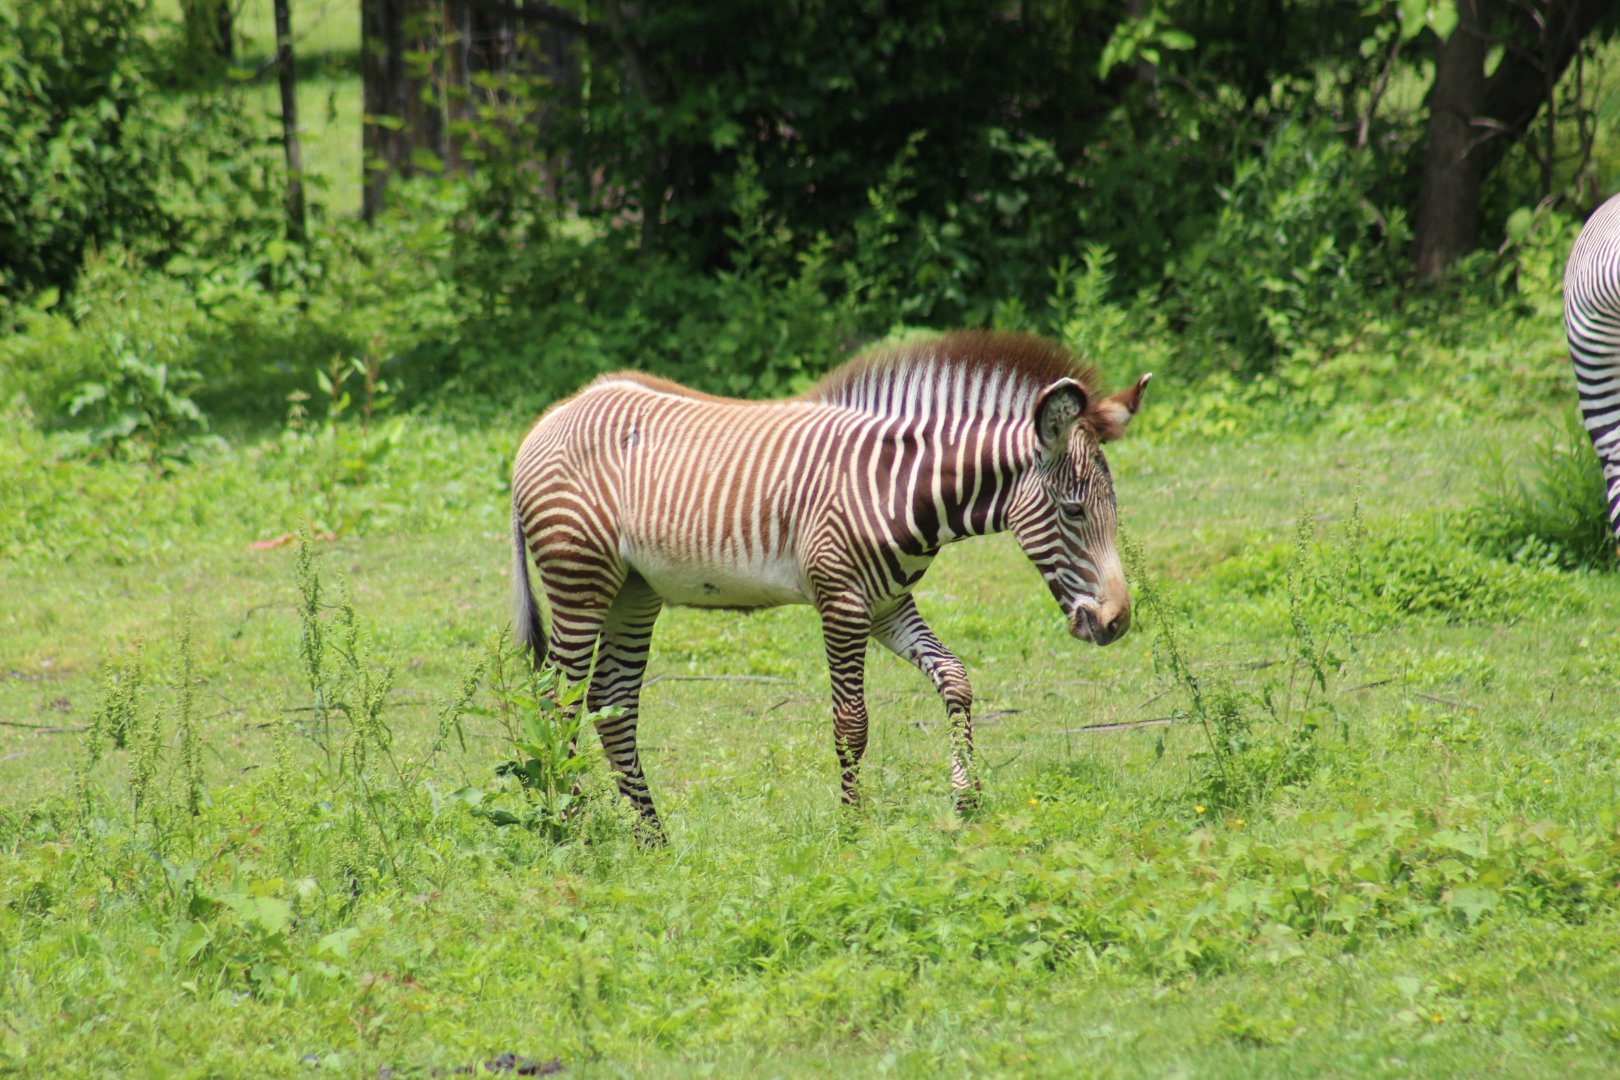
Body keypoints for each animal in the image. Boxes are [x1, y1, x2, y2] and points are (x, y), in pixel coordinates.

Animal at [510, 331, 1150, 837]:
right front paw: (851, 827)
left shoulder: (888, 604)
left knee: (610, 704)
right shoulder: (841, 601)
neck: (900, 487)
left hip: (633, 591)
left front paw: (965, 797)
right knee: (556, 702)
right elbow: (852, 725)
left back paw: (652, 841)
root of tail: (550, 416)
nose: (1117, 622)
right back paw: (568, 827)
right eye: (1073, 512)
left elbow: (956, 679)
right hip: (578, 579)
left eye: (1115, 510)